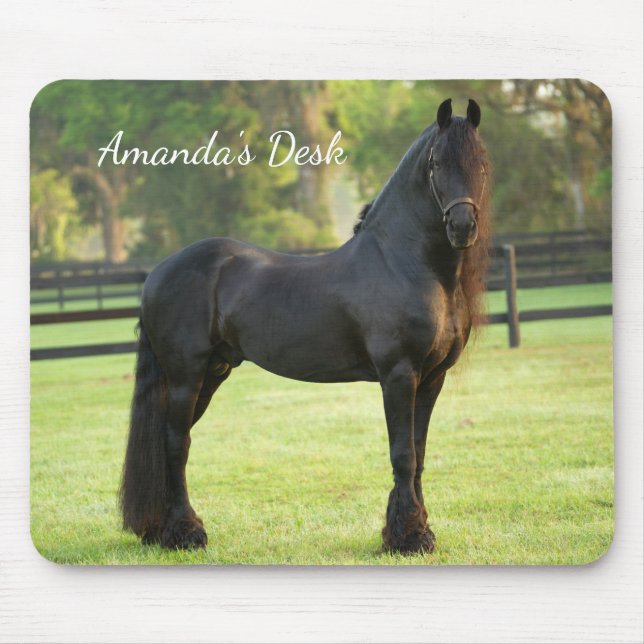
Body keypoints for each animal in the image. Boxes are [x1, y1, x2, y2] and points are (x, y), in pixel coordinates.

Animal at [120, 98, 492, 554]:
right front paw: (408, 537)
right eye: (436, 163)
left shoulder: (432, 377)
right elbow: (402, 453)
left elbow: (419, 454)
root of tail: (157, 273)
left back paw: (158, 530)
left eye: (481, 162)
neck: (405, 264)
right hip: (185, 375)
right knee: (175, 443)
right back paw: (186, 533)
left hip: (212, 373)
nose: (462, 227)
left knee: (168, 441)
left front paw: (415, 532)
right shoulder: (399, 375)